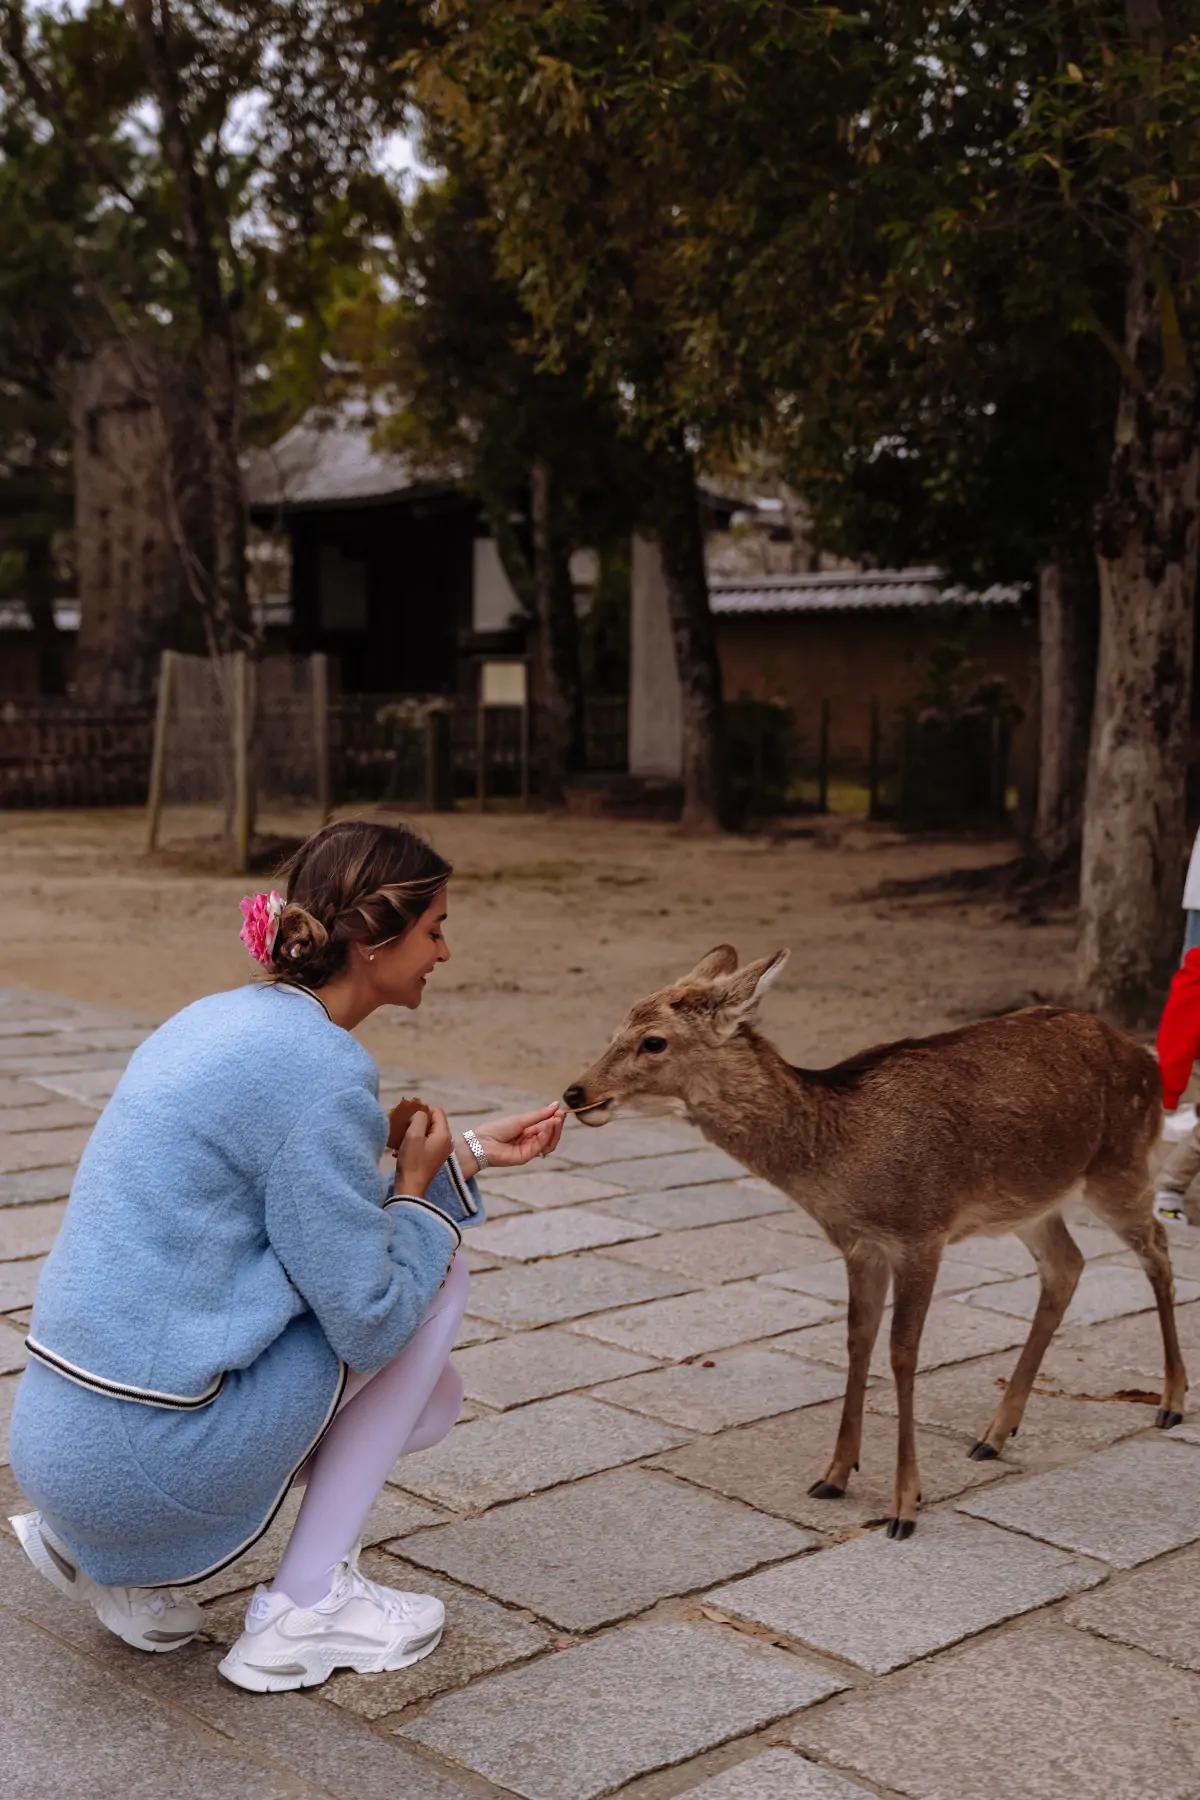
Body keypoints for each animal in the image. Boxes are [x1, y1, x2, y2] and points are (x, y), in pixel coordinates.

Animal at [568, 950, 1187, 1540]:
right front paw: (834, 1475)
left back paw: (1171, 1403)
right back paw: (995, 1433)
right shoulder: (859, 1245)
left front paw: (904, 1506)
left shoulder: (921, 1232)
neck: (842, 1163)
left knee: (1157, 1248)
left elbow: (902, 1352)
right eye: (616, 1027)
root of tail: (1146, 1059)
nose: (575, 1092)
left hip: (1122, 1163)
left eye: (654, 1041)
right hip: (1032, 1200)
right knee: (1067, 1264)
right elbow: (856, 1340)